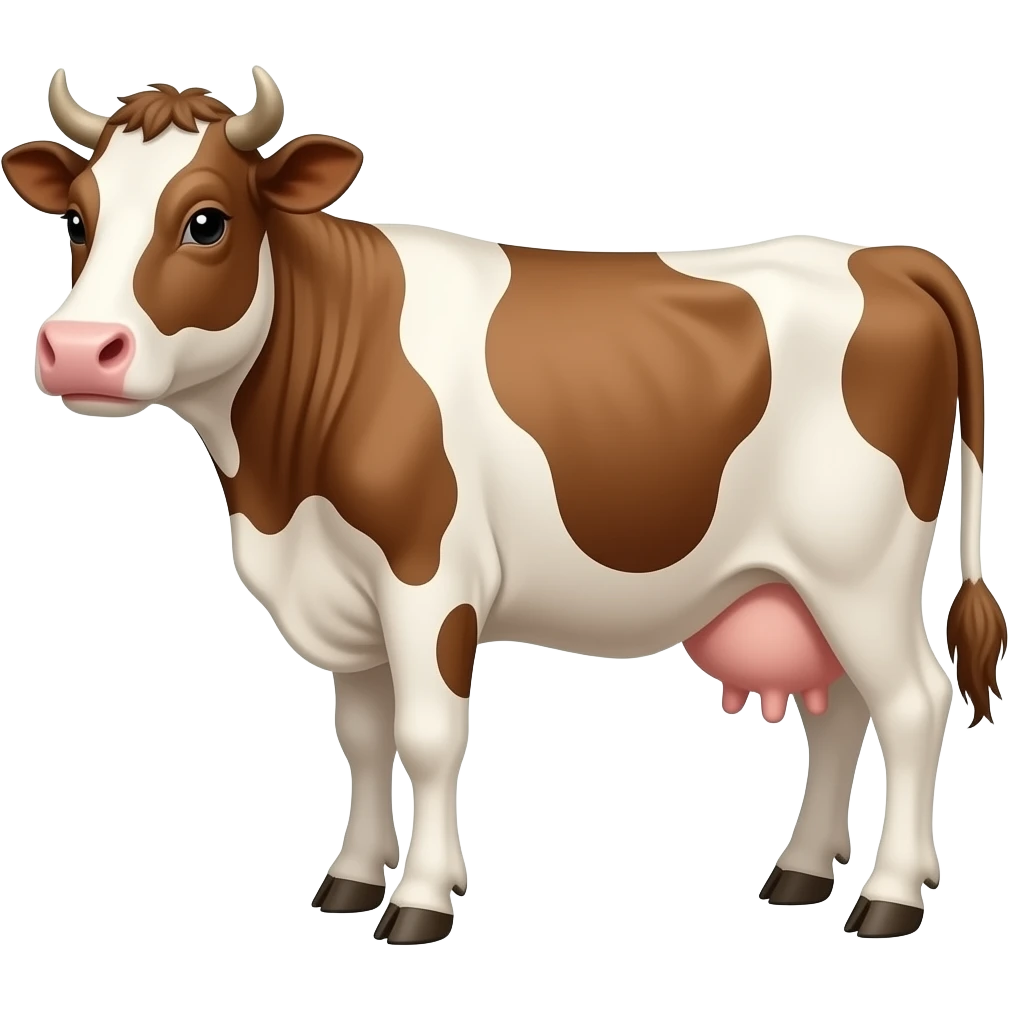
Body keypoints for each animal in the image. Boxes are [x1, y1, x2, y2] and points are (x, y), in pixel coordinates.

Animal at [4, 66, 1005, 945]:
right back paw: (799, 872)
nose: (77, 348)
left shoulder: (428, 577)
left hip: (859, 565)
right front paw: (352, 880)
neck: (279, 491)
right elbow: (362, 737)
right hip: (806, 580)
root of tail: (884, 256)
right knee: (840, 708)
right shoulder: (347, 596)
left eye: (206, 221)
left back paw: (889, 898)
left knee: (912, 702)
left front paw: (419, 902)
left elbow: (428, 735)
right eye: (79, 219)